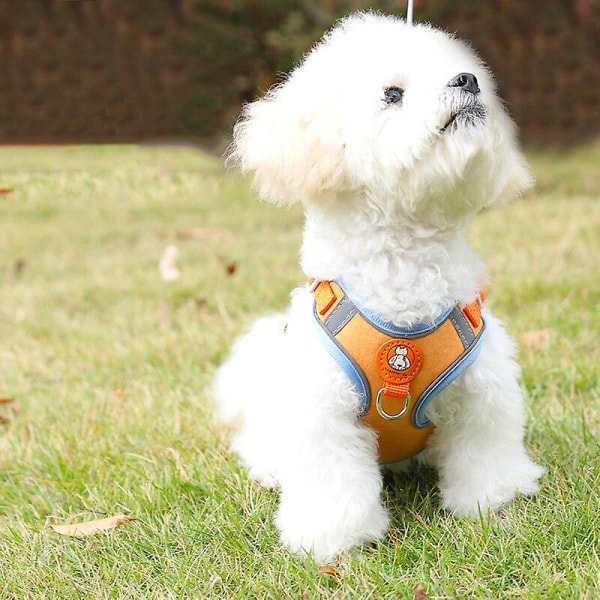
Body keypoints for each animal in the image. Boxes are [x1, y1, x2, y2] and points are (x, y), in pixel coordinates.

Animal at [213, 12, 548, 564]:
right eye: (393, 94)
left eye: (465, 73)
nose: (468, 81)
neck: (405, 263)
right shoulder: (322, 411)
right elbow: (332, 483)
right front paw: (333, 541)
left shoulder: (482, 390)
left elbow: (484, 452)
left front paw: (493, 504)